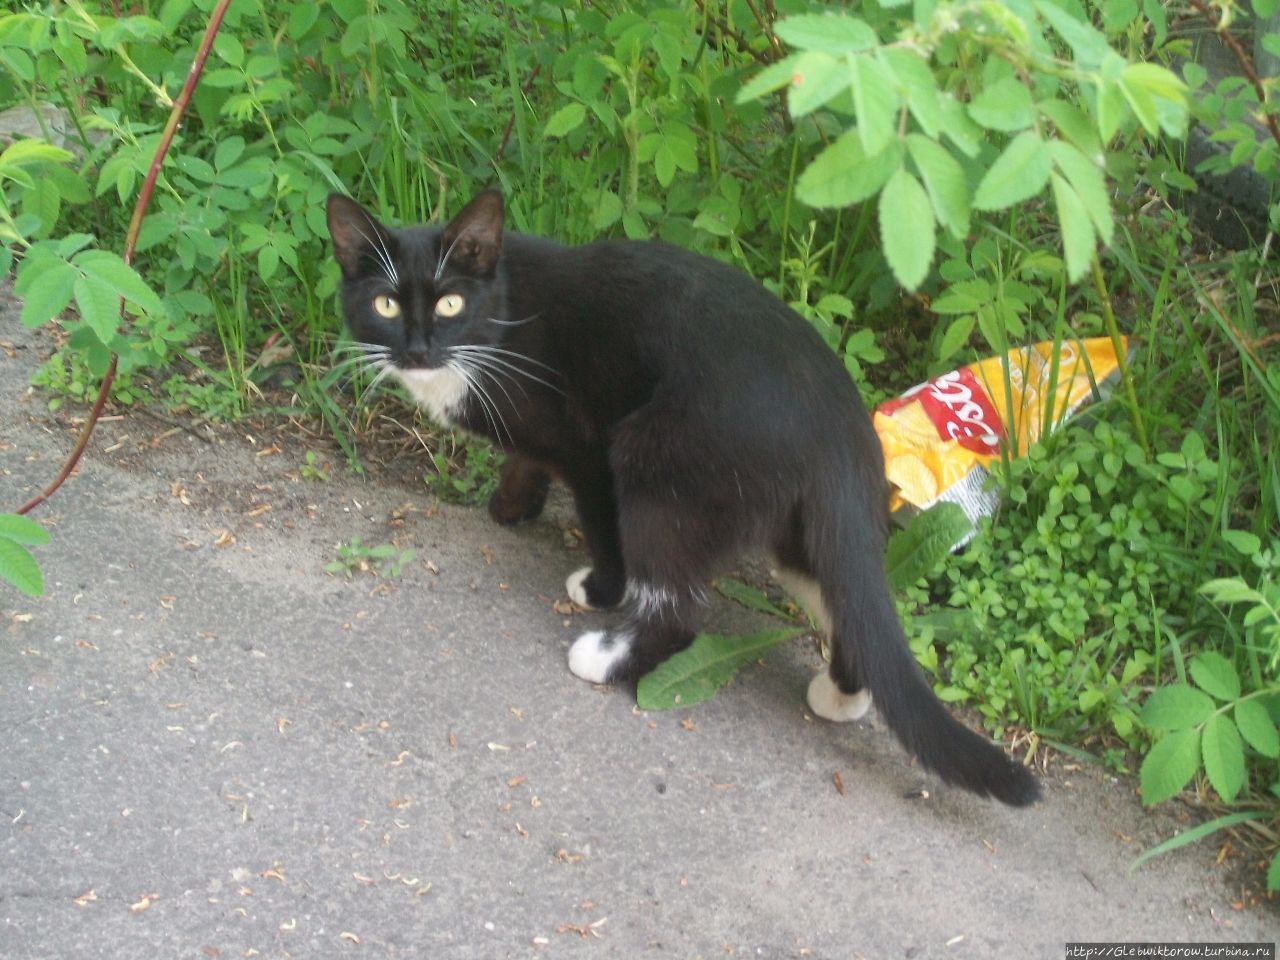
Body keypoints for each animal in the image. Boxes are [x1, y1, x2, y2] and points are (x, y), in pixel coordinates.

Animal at [327, 185, 1039, 803]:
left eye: (449, 303)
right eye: (386, 305)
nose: (418, 348)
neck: (500, 309)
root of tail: (839, 427)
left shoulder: (585, 443)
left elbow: (596, 516)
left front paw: (599, 587)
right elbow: (525, 461)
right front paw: (511, 507)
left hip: (658, 460)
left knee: (679, 609)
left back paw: (605, 657)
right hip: (797, 524)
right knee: (847, 600)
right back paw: (841, 697)